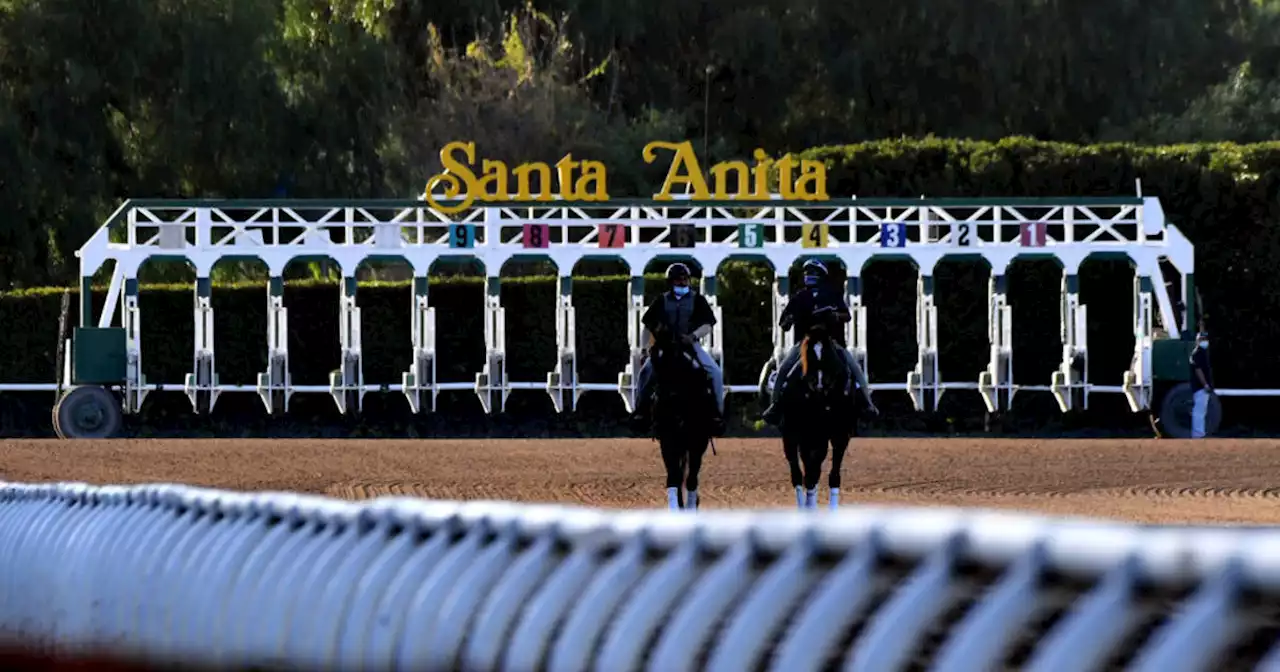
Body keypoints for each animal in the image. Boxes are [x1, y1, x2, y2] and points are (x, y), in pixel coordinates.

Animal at [632, 330, 716, 509]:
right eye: (654, 359)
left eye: (674, 357)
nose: (661, 396)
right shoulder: (668, 440)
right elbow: (673, 477)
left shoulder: (698, 441)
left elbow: (691, 478)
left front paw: (692, 504)